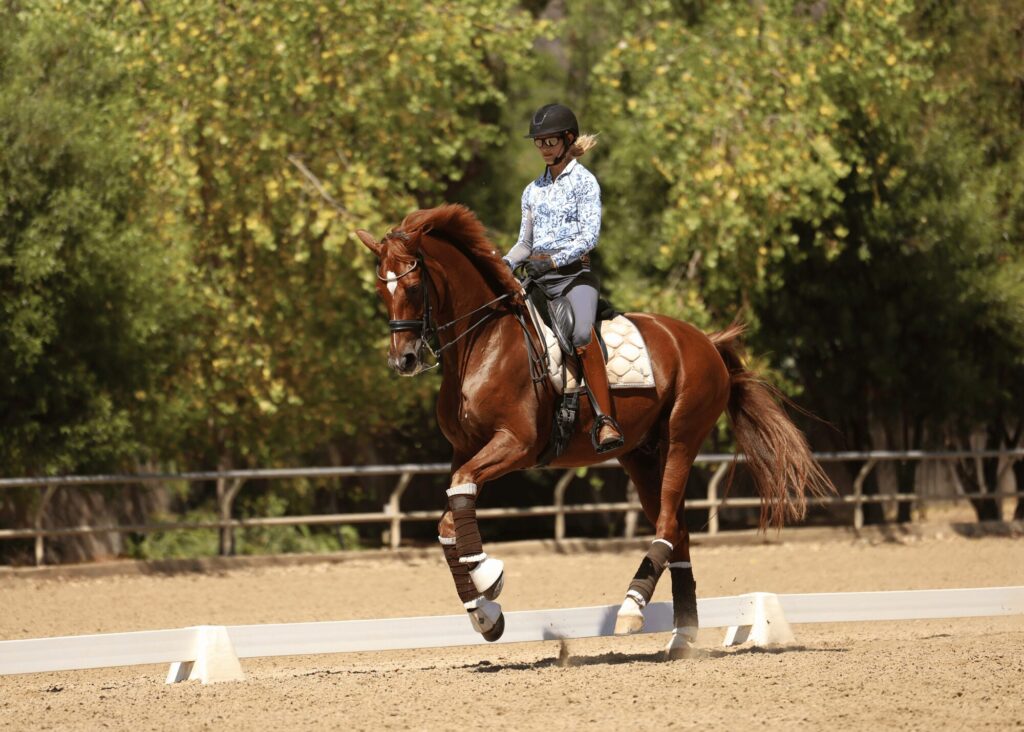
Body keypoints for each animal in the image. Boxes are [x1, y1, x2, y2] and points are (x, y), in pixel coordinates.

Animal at [356, 203, 834, 656]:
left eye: (413, 287)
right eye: (381, 288)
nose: (403, 360)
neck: (484, 343)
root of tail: (705, 342)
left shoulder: (515, 445)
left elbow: (459, 501)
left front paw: (490, 576)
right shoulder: (467, 450)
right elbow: (451, 517)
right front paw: (485, 613)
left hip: (682, 438)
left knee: (667, 523)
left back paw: (632, 608)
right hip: (640, 456)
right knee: (676, 529)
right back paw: (681, 636)